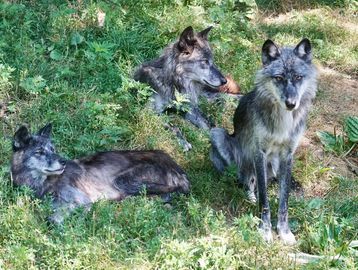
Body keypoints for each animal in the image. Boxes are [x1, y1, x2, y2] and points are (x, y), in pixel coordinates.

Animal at [11, 124, 190, 224]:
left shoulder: (83, 201)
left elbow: (55, 218)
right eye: (39, 152)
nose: (63, 161)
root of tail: (176, 166)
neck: (42, 183)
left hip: (123, 180)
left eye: (52, 149)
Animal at [211, 38, 318, 245]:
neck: (284, 120)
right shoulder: (259, 153)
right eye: (279, 78)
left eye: (298, 77)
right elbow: (265, 201)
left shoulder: (287, 155)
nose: (291, 104)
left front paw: (284, 232)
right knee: (246, 181)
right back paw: (248, 195)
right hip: (218, 134)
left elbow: (284, 201)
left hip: (273, 165)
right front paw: (265, 231)